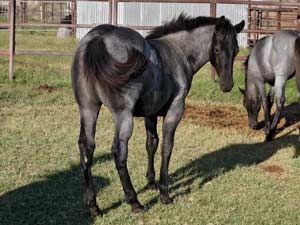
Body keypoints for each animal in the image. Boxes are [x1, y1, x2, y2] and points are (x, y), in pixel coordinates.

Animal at [71, 14, 245, 216]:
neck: (178, 52)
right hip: (122, 114)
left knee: (87, 148)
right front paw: (164, 193)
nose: (227, 85)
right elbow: (166, 147)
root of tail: (98, 39)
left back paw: (93, 205)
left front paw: (151, 182)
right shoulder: (175, 109)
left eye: (236, 50)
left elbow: (151, 144)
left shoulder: (150, 113)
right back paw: (134, 201)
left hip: (88, 108)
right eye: (217, 49)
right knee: (118, 151)